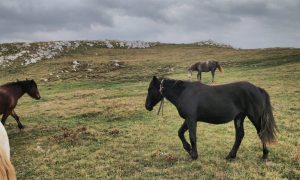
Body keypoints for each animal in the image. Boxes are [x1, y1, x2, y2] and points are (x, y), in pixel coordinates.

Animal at [145, 76, 276, 161]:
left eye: (150, 89)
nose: (147, 106)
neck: (183, 93)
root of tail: (257, 89)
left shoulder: (191, 119)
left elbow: (192, 137)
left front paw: (194, 155)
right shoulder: (188, 119)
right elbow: (180, 132)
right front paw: (188, 149)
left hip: (255, 117)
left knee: (261, 133)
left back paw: (264, 155)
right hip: (239, 117)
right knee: (239, 136)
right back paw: (231, 156)